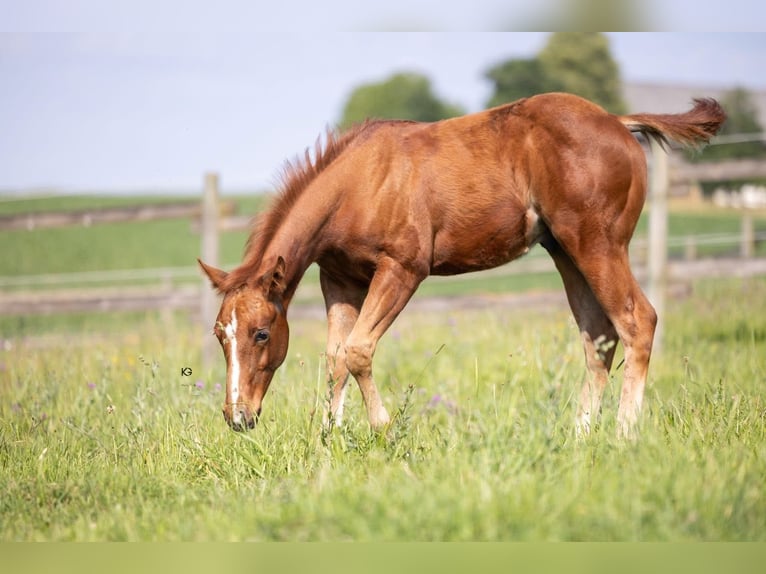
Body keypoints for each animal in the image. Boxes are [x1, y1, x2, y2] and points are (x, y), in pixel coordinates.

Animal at [199, 92, 725, 437]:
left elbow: (358, 351)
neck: (358, 183)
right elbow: (335, 358)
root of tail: (618, 121)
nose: (237, 417)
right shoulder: (340, 278)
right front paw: (329, 438)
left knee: (638, 320)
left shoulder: (403, 269)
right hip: (566, 251)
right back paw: (580, 435)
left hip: (599, 244)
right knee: (599, 336)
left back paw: (623, 433)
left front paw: (384, 430)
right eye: (220, 335)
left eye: (261, 334)